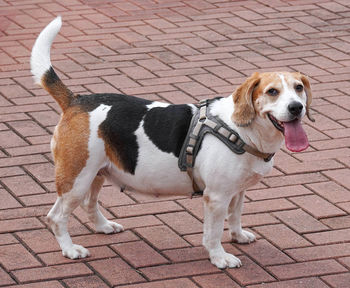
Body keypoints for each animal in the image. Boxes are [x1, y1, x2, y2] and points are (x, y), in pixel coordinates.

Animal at [30, 17, 314, 270]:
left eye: (298, 88)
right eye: (272, 92)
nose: (296, 108)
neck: (242, 131)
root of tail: (76, 100)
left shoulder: (237, 191)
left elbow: (235, 216)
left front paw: (238, 236)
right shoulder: (217, 197)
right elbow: (213, 233)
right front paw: (219, 258)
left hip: (95, 173)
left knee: (89, 205)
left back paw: (103, 227)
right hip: (76, 178)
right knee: (56, 217)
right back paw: (70, 249)